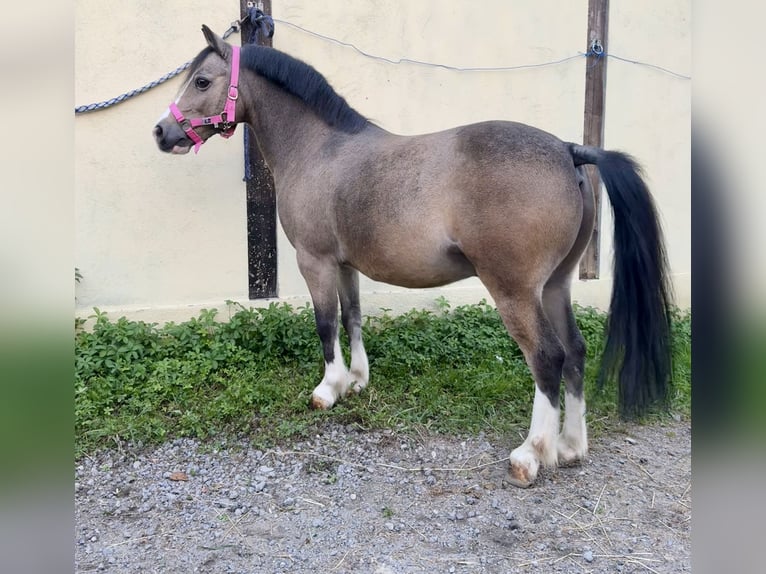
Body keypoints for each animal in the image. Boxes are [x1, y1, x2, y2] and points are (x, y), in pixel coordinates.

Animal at [153, 25, 673, 488]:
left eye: (202, 81)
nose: (161, 132)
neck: (320, 148)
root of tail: (569, 151)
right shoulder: (345, 265)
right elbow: (352, 317)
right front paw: (356, 381)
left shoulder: (314, 261)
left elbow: (325, 324)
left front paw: (327, 390)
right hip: (555, 286)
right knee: (576, 352)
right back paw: (570, 447)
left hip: (516, 291)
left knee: (547, 357)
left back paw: (531, 455)